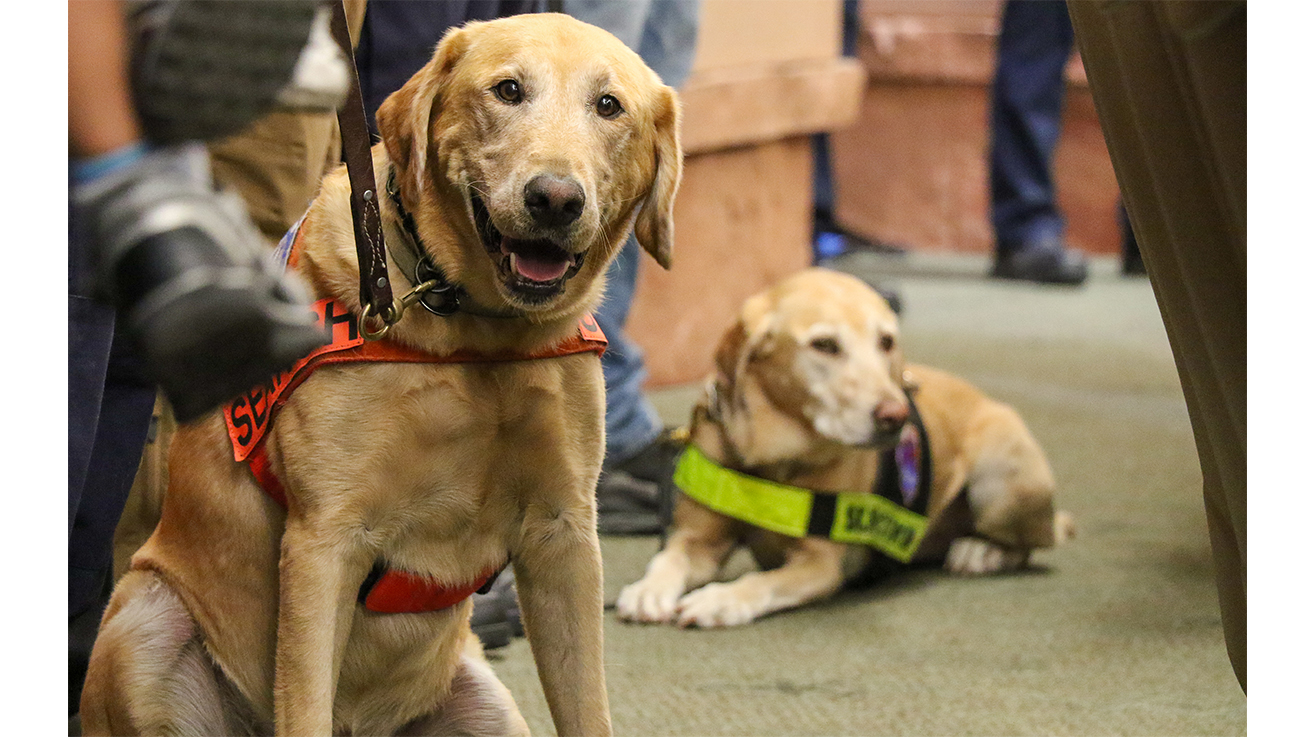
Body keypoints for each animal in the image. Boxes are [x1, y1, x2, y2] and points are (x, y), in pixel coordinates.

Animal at [615, 269, 1068, 626]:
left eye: (886, 341)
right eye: (825, 345)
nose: (895, 415)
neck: (772, 459)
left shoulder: (818, 564)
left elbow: (761, 583)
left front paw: (721, 600)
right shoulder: (697, 539)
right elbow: (668, 558)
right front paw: (648, 588)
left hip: (1001, 480)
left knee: (1029, 546)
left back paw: (981, 550)